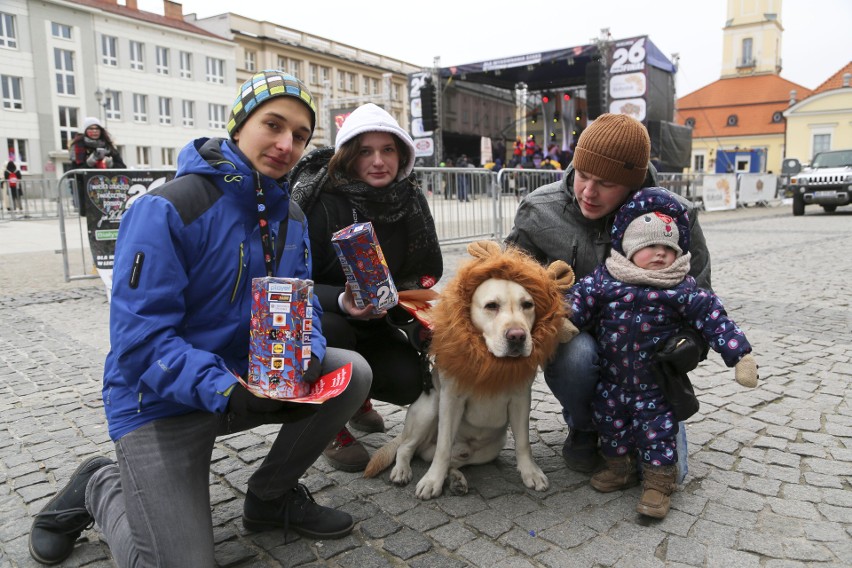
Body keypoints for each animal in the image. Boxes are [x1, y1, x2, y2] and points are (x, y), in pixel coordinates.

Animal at [362, 242, 576, 500]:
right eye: (491, 306)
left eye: (527, 305)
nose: (517, 336)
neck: (490, 363)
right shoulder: (451, 400)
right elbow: (443, 447)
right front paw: (432, 481)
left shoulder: (521, 399)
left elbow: (523, 442)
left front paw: (530, 473)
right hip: (429, 409)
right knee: (408, 448)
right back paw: (403, 471)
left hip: (490, 448)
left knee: (447, 459)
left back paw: (456, 479)